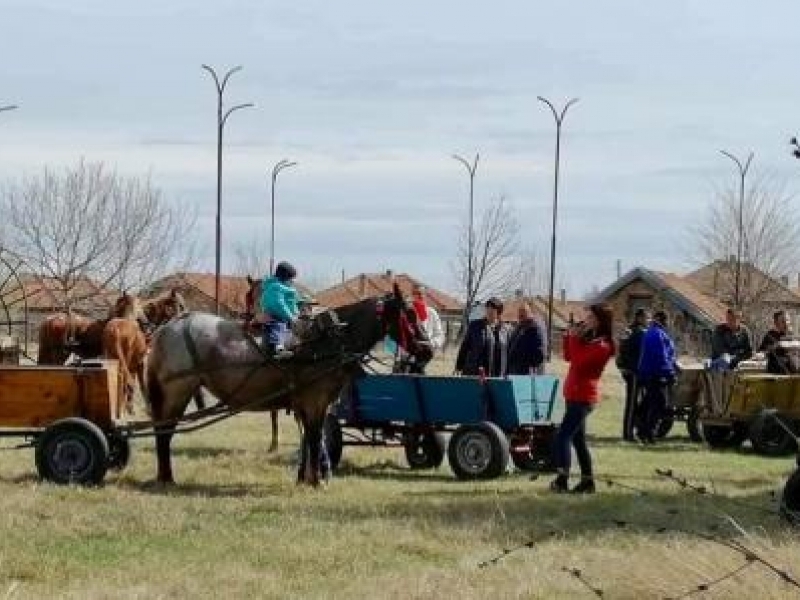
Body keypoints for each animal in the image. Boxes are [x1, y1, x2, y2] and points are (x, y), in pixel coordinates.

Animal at [144, 284, 432, 486]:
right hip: (177, 391)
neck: (328, 340)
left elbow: (309, 438)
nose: (427, 350)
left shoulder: (308, 403)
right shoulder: (315, 401)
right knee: (165, 432)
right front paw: (315, 480)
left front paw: (305, 477)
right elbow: (315, 437)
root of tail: (168, 327)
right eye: (409, 314)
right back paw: (166, 477)